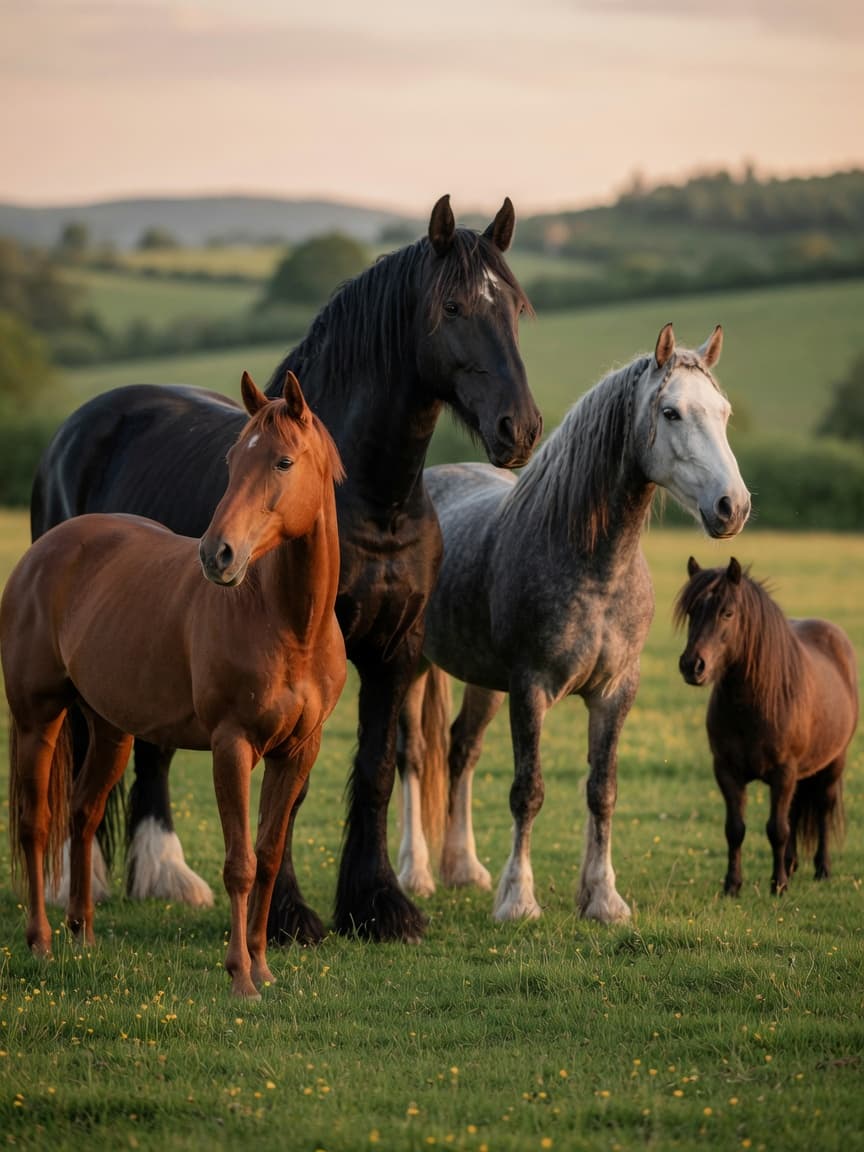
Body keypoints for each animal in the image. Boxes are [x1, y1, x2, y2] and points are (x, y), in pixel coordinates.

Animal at [3, 370, 346, 997]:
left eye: (283, 461)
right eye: (233, 459)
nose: (218, 555)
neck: (288, 624)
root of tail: (44, 551)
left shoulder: (297, 752)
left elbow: (268, 853)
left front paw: (262, 964)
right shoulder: (232, 746)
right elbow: (240, 864)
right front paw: (240, 976)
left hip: (111, 730)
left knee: (83, 814)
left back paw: (83, 935)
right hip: (39, 719)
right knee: (36, 825)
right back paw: (40, 941)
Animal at [30, 195, 542, 944]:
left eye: (515, 307)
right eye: (451, 307)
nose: (520, 428)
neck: (371, 502)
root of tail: (74, 431)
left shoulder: (395, 651)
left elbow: (374, 771)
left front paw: (378, 905)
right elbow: (288, 794)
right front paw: (287, 917)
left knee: (150, 750)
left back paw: (166, 876)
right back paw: (83, 881)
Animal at [395, 324, 751, 923]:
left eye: (724, 412)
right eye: (672, 412)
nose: (734, 506)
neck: (593, 565)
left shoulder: (614, 691)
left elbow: (601, 789)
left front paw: (602, 898)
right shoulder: (530, 689)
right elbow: (528, 791)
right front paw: (518, 899)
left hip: (481, 680)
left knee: (460, 751)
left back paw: (463, 869)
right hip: (411, 665)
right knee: (412, 756)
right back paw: (414, 872)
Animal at [675, 556, 858, 896]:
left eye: (727, 612)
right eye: (692, 611)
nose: (692, 666)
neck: (753, 707)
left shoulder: (783, 772)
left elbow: (777, 829)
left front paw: (779, 885)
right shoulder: (727, 771)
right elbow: (735, 829)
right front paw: (732, 885)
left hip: (832, 764)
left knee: (822, 811)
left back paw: (821, 869)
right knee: (796, 810)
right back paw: (792, 863)